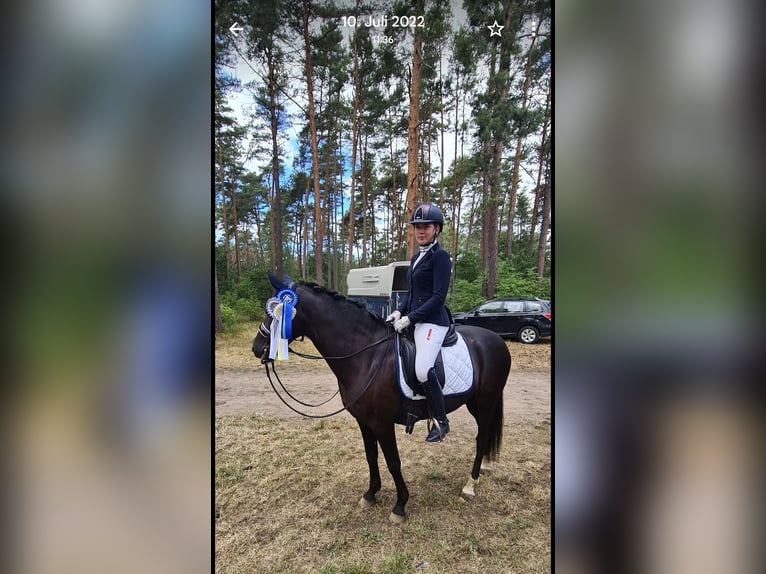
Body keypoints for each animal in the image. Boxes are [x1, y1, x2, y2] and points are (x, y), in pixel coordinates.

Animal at [251, 273, 511, 524]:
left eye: (277, 312)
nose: (257, 347)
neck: (367, 355)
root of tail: (496, 339)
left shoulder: (382, 423)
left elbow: (393, 462)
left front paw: (400, 506)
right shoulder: (364, 421)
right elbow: (371, 456)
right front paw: (370, 494)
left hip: (486, 401)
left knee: (481, 437)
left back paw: (470, 485)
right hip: (474, 402)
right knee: (483, 435)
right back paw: (484, 467)